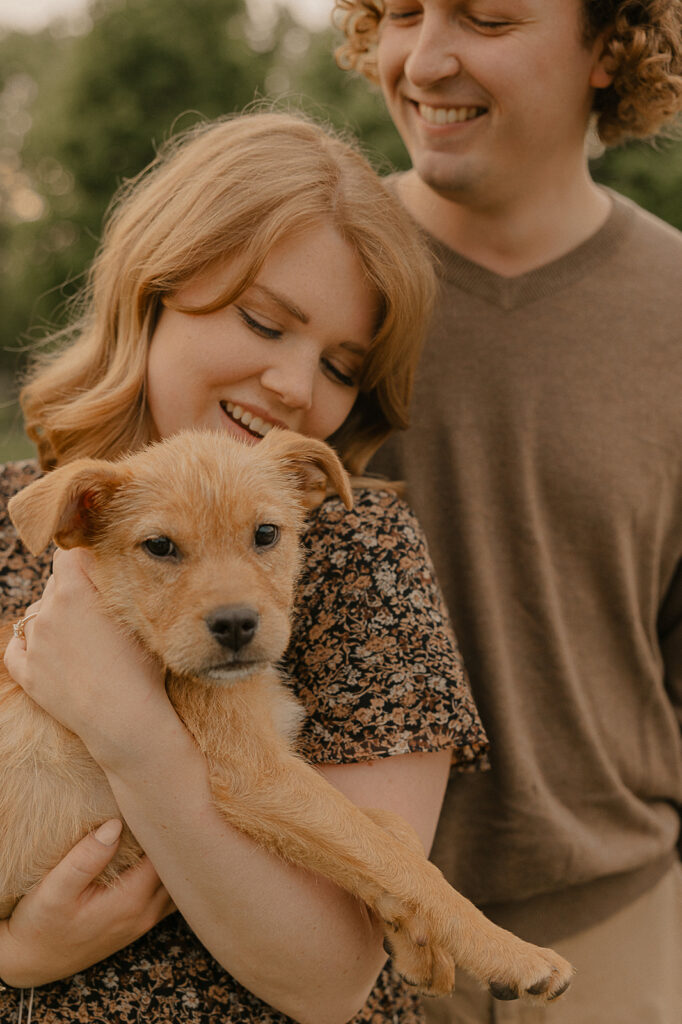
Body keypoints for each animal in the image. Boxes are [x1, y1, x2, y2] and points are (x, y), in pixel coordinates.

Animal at [0, 430, 573, 999]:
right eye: (159, 546)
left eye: (266, 533)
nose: (235, 624)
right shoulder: (257, 776)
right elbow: (394, 859)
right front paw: (514, 955)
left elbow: (385, 835)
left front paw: (417, 944)